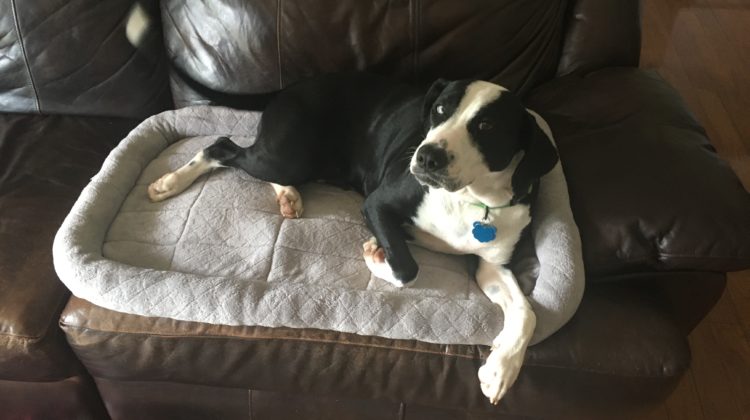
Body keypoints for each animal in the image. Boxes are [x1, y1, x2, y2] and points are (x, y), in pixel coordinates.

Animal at [147, 71, 560, 404]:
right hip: (288, 153)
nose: (427, 157)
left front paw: (501, 368)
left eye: (487, 126)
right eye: (441, 111)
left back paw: (288, 196)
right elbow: (407, 268)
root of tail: (293, 85)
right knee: (221, 147)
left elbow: (526, 313)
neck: (472, 200)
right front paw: (377, 255)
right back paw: (171, 182)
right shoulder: (378, 204)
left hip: (305, 162)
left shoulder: (493, 265)